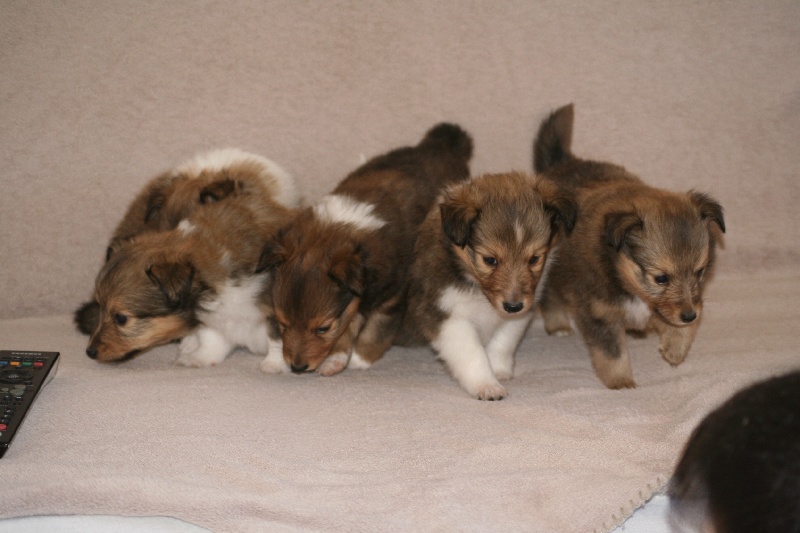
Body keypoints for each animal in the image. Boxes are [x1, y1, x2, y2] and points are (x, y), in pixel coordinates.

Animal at [256, 123, 472, 376]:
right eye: (283, 323)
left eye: (323, 328)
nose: (297, 367)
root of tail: (442, 144)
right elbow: (350, 321)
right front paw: (336, 359)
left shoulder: (391, 299)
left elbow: (373, 332)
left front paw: (359, 360)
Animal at [404, 171, 580, 400]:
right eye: (490, 260)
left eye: (534, 259)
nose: (513, 306)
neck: (479, 291)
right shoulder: (446, 316)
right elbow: (473, 354)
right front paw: (487, 386)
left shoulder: (521, 312)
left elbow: (503, 342)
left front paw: (499, 370)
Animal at [532, 103, 724, 386]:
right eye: (661, 278)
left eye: (700, 272)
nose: (690, 314)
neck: (621, 272)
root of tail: (563, 163)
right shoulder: (600, 314)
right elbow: (613, 354)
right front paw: (622, 384)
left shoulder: (675, 305)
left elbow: (682, 327)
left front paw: (675, 349)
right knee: (550, 296)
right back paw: (558, 326)